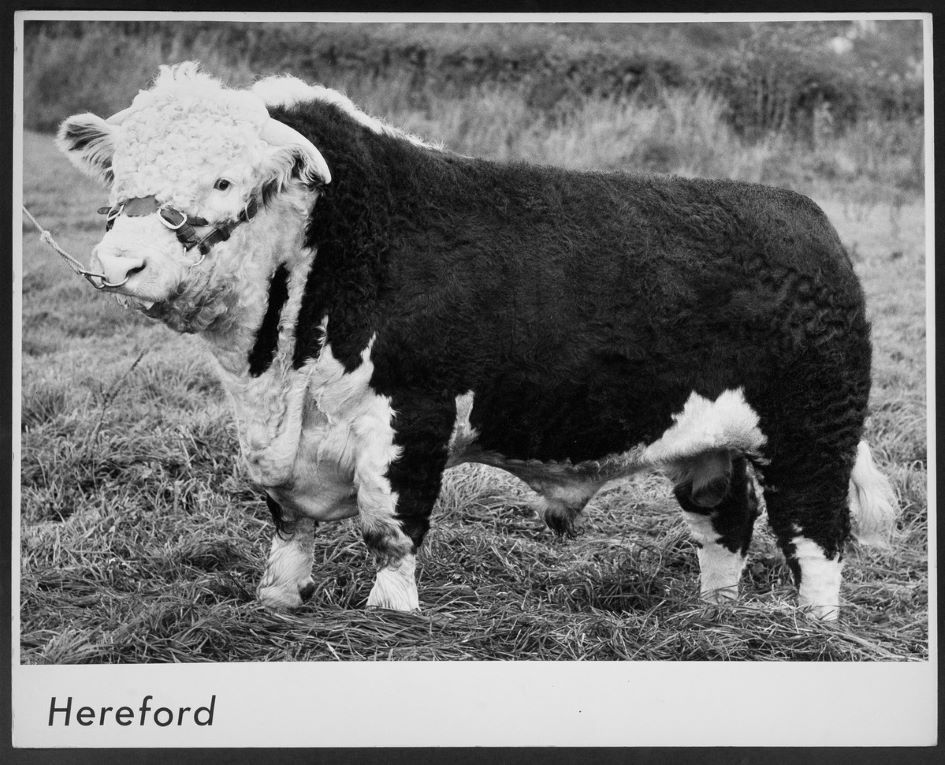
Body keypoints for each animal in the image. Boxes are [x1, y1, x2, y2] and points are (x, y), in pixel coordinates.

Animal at [55, 61, 896, 620]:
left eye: (226, 181)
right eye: (118, 174)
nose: (118, 262)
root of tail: (802, 215)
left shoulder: (409, 418)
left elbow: (389, 529)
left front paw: (389, 617)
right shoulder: (279, 444)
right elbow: (288, 527)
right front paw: (277, 600)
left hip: (810, 433)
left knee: (815, 536)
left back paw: (812, 630)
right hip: (707, 444)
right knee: (724, 518)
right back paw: (713, 615)